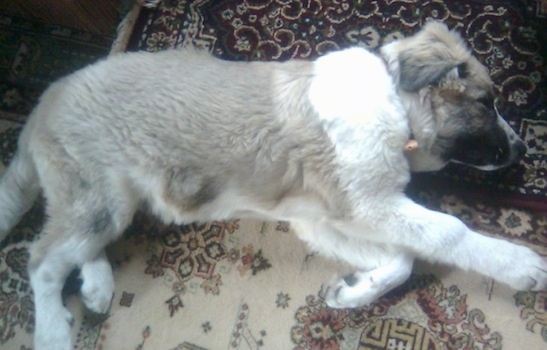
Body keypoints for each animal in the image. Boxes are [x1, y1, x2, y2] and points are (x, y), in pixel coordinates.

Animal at [0, 21, 544, 350]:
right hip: (98, 195)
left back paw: (95, 286)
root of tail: (46, 98)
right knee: (42, 259)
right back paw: (54, 331)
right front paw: (519, 265)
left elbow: (402, 260)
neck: (396, 104)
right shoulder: (369, 203)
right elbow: (447, 232)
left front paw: (353, 293)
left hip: (109, 198)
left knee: (72, 242)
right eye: (486, 104)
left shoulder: (324, 217)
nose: (523, 152)